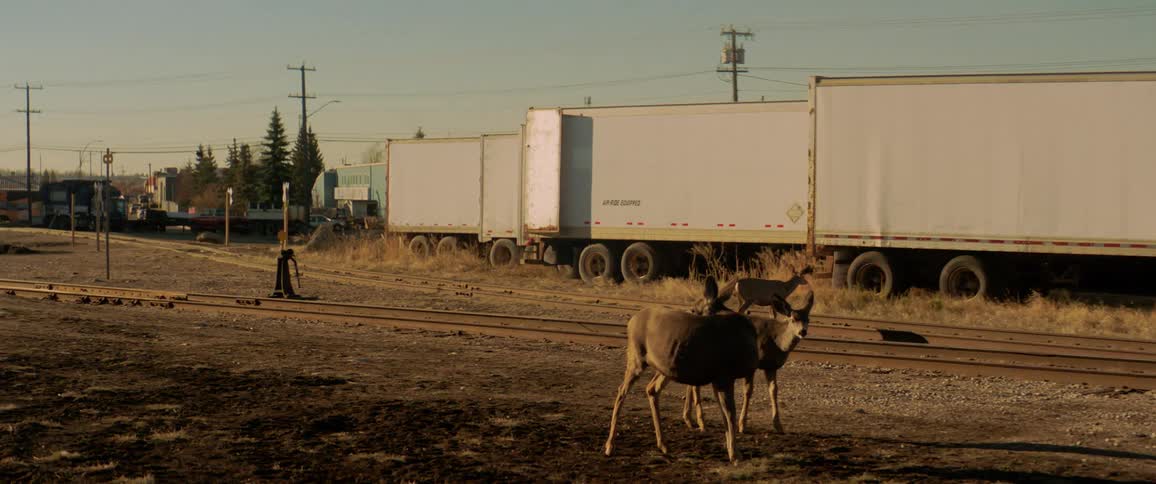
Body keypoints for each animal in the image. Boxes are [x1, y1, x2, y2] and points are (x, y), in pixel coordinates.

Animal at [603, 277, 760, 462]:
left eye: (694, 309)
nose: (688, 311)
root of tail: (631, 321)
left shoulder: (718, 379)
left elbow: (725, 415)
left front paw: (733, 451)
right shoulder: (724, 376)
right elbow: (730, 414)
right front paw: (735, 454)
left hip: (666, 368)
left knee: (651, 389)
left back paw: (663, 444)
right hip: (636, 358)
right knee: (622, 391)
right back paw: (609, 446)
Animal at [682, 286, 813, 434]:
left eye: (808, 320)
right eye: (793, 319)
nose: (803, 332)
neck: (776, 340)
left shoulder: (771, 366)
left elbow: (774, 390)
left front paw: (778, 426)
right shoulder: (752, 364)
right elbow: (748, 390)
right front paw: (742, 425)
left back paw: (689, 419)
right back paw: (699, 422)